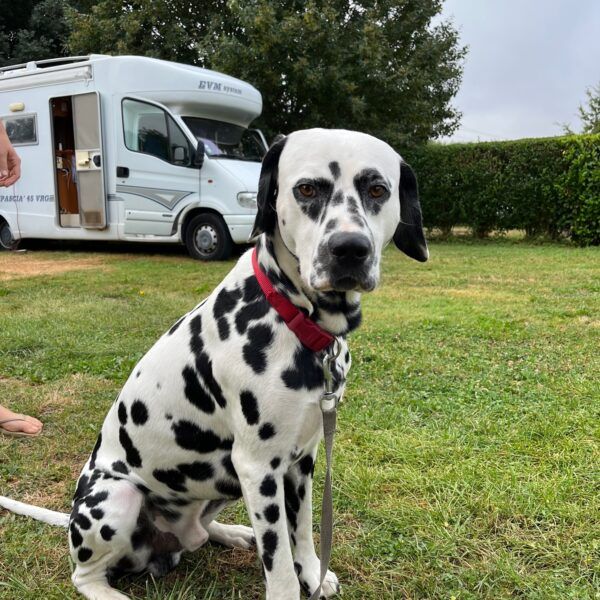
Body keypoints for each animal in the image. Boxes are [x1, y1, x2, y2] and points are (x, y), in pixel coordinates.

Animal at [2, 129, 428, 596]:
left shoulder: (302, 461)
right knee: (85, 576)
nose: (349, 249)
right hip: (118, 499)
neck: (294, 318)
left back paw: (233, 533)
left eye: (377, 190)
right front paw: (292, 581)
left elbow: (301, 530)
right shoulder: (259, 468)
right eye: (307, 189)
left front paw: (312, 573)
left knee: (201, 534)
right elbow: (279, 562)